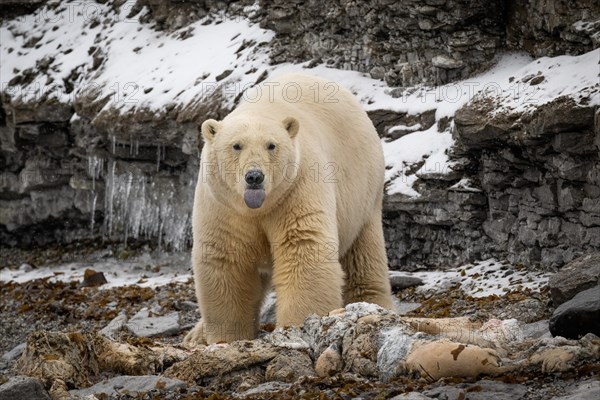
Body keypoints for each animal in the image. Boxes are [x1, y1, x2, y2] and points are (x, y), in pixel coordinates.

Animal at [185, 72, 396, 344]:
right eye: (236, 145)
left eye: (271, 145)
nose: (254, 176)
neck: (257, 208)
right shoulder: (223, 205)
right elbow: (227, 258)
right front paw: (227, 337)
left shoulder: (296, 187)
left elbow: (303, 248)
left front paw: (297, 326)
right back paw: (195, 334)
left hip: (364, 191)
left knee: (363, 254)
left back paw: (372, 304)